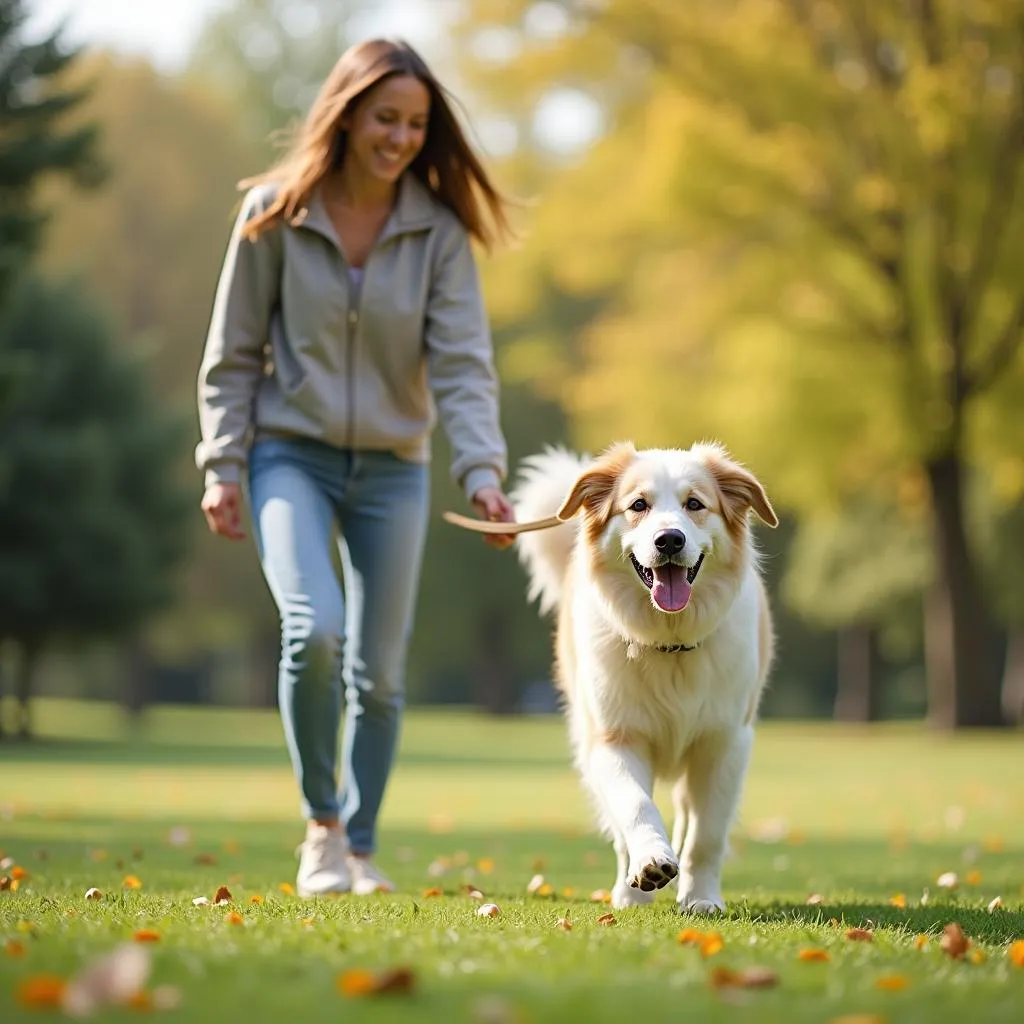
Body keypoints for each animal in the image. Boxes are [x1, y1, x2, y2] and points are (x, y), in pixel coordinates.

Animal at [512, 440, 774, 913]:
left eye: (694, 504)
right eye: (638, 505)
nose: (669, 539)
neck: (670, 644)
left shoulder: (723, 742)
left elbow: (707, 835)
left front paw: (701, 897)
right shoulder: (616, 738)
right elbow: (635, 806)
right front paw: (651, 862)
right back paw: (630, 891)